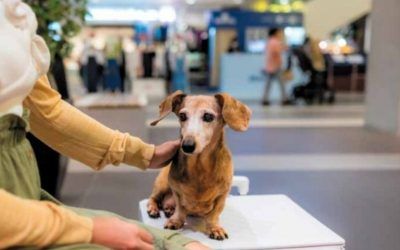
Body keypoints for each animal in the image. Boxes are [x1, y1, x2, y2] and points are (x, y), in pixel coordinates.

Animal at [148, 90, 252, 240]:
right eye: (182, 116)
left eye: (208, 116)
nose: (186, 145)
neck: (199, 168)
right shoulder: (176, 190)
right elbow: (180, 208)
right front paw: (176, 220)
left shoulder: (222, 195)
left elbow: (214, 214)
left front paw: (214, 228)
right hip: (162, 184)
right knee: (153, 198)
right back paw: (154, 209)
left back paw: (168, 208)